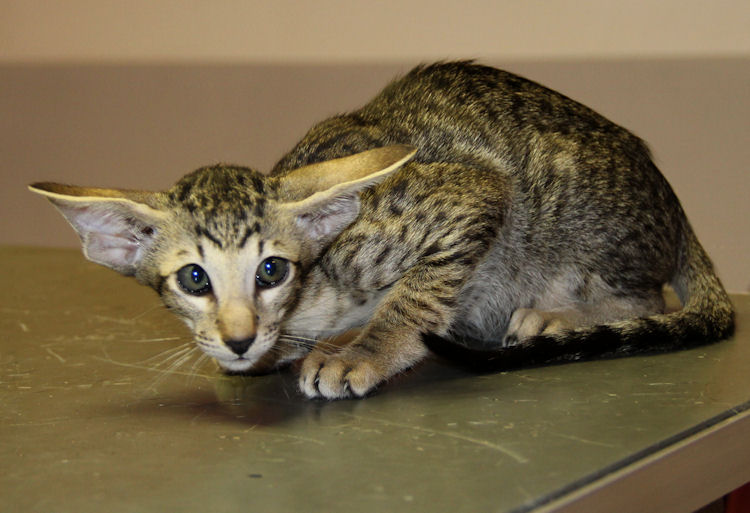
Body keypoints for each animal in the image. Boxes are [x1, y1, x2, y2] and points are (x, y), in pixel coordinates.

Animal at [30, 61, 734, 400]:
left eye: (271, 270)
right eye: (194, 279)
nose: (238, 338)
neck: (313, 301)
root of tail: (675, 205)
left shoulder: (469, 197)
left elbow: (417, 294)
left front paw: (365, 351)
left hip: (570, 217)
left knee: (648, 298)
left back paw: (558, 317)